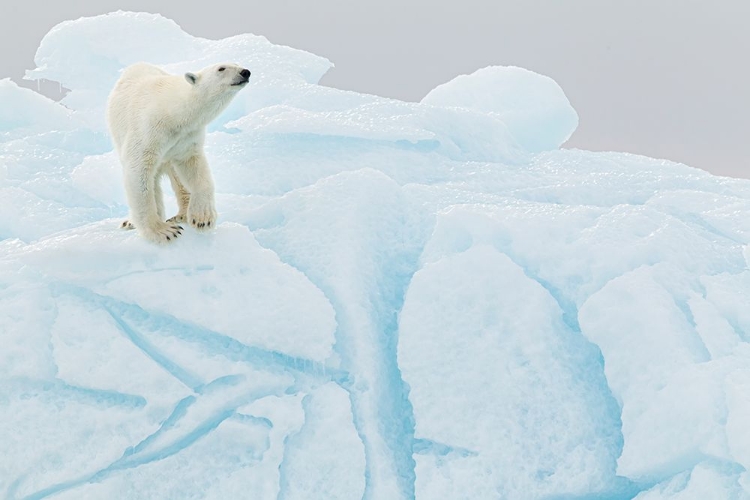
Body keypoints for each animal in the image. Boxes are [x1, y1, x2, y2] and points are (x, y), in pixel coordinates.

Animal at [107, 62, 253, 242]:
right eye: (221, 68)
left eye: (238, 65)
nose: (245, 72)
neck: (172, 112)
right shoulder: (148, 131)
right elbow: (139, 172)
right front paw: (163, 231)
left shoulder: (186, 138)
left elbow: (195, 168)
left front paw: (203, 218)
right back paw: (132, 222)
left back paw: (182, 215)